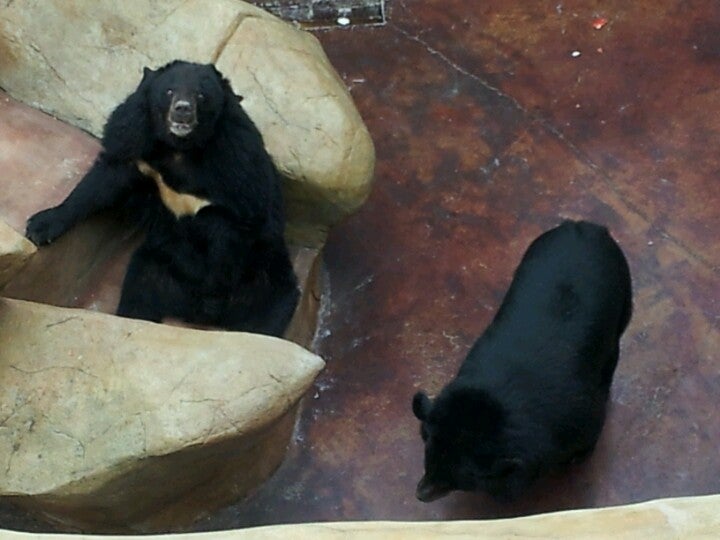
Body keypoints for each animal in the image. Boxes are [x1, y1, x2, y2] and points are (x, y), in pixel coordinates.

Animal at [26, 60, 298, 338]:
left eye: (201, 95)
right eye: (169, 91)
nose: (182, 110)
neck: (180, 147)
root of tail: (191, 309)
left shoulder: (239, 159)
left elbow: (241, 216)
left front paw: (214, 283)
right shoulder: (134, 136)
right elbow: (105, 178)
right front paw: (41, 225)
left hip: (263, 279)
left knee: (270, 312)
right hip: (153, 269)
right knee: (138, 300)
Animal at [410, 219, 632, 502]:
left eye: (467, 475)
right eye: (427, 444)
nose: (421, 493)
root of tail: (586, 226)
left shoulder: (585, 418)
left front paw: (575, 461)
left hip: (625, 300)